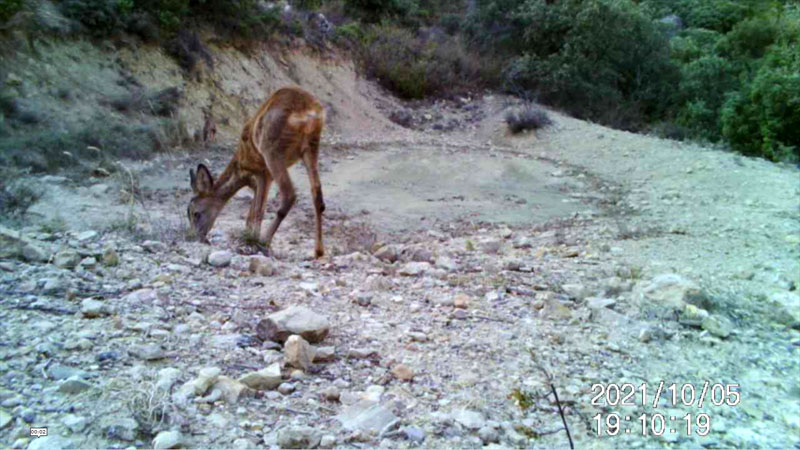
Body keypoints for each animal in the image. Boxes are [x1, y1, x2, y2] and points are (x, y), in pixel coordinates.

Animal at [188, 86, 324, 258]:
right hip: (311, 146)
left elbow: (257, 212)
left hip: (272, 149)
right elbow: (252, 212)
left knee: (289, 194)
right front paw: (248, 236)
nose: (196, 237)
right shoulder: (262, 179)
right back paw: (318, 251)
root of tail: (307, 109)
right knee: (317, 195)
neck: (241, 166)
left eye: (195, 213)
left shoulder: (262, 172)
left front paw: (251, 241)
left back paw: (264, 242)